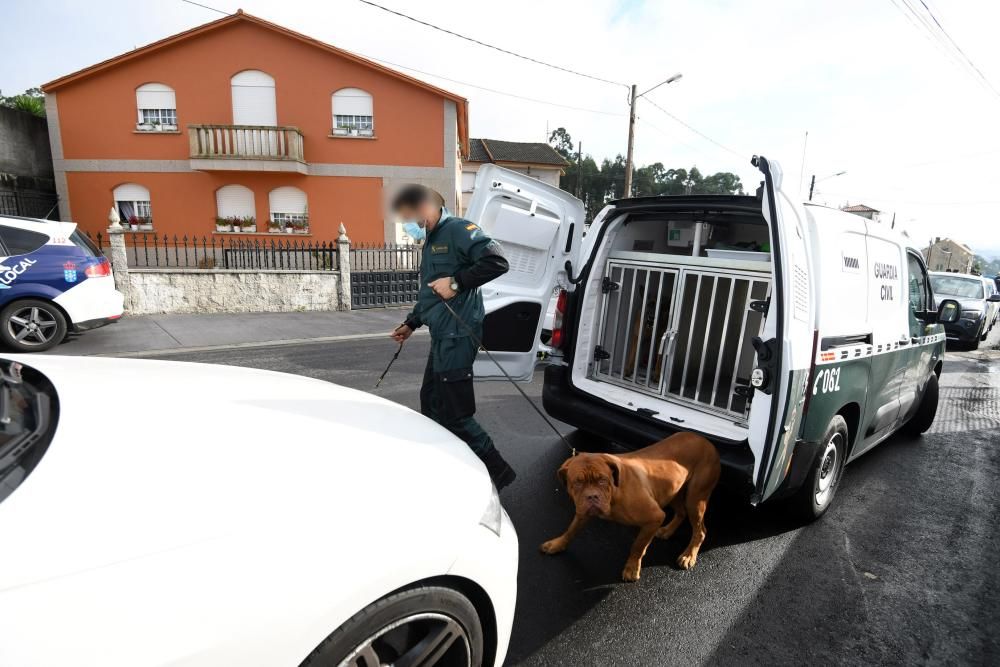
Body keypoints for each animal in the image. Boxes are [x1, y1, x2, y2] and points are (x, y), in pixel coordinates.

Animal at [540, 434, 720, 584]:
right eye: (577, 483)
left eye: (602, 480)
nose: (592, 496)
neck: (614, 492)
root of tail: (705, 441)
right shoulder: (582, 514)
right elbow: (571, 530)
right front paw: (557, 544)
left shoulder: (654, 517)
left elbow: (638, 546)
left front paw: (632, 568)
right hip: (673, 491)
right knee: (681, 512)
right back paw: (667, 531)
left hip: (695, 498)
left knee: (700, 530)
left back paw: (689, 555)